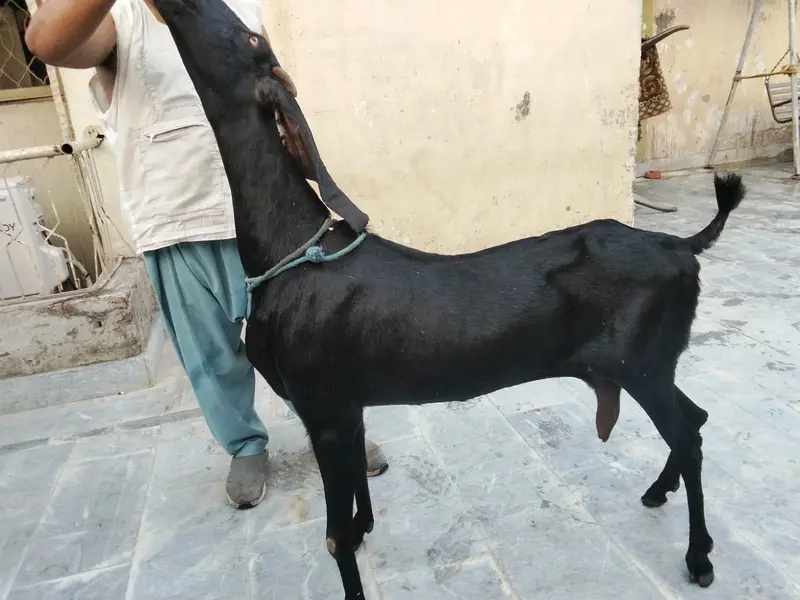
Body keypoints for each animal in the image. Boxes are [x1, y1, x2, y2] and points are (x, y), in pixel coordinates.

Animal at [153, 0, 744, 596]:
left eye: (251, 37)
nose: (175, 5)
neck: (290, 249)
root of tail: (678, 245)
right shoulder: (348, 405)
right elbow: (356, 497)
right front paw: (366, 527)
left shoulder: (323, 408)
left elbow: (334, 537)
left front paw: (352, 545)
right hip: (647, 365)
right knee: (697, 418)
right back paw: (658, 491)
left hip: (641, 364)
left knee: (688, 433)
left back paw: (699, 555)